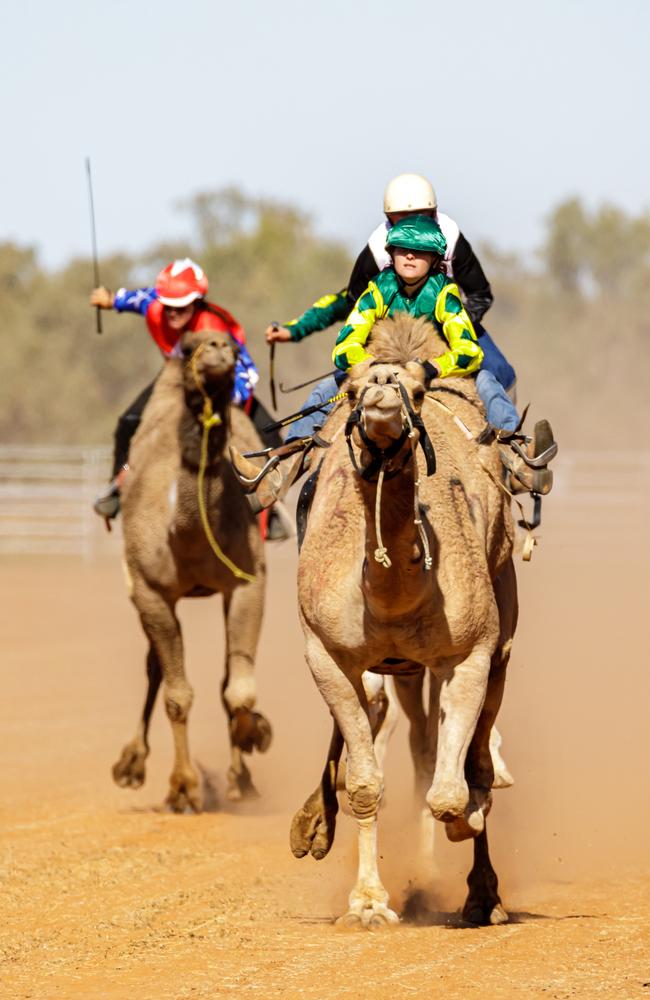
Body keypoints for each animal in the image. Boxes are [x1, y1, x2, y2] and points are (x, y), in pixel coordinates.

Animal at [111, 330, 270, 812]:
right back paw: (131, 766)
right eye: (187, 345)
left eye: (234, 347)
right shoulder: (150, 590)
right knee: (155, 671)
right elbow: (178, 695)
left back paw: (241, 779)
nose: (219, 350)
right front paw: (182, 789)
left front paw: (255, 736)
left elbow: (237, 690)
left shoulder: (248, 582)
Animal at [288, 316, 516, 924]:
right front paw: (368, 904)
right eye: (350, 391)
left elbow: (453, 792)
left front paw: (471, 814)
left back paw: (483, 895)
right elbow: (366, 785)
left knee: (472, 744)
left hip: (501, 629)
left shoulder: (470, 652)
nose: (382, 397)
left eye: (414, 391)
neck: (391, 597)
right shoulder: (327, 657)